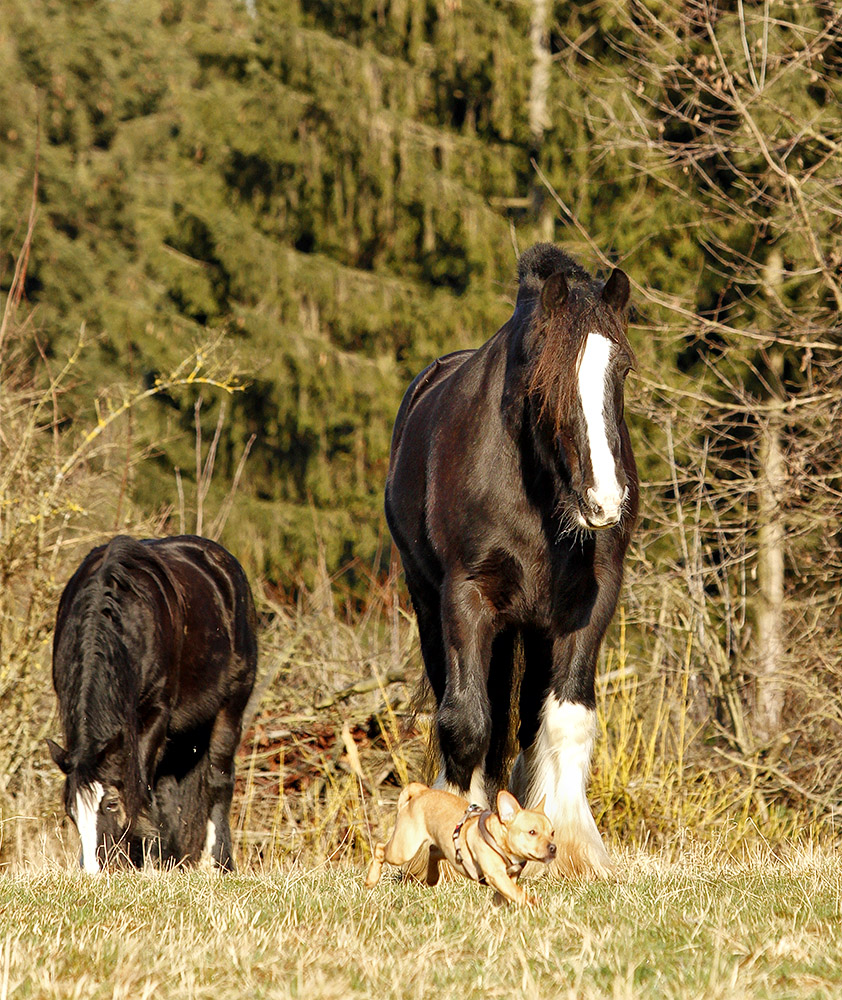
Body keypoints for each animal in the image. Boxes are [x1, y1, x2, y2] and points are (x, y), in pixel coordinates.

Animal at [48, 536, 258, 872]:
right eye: (71, 810)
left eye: (111, 804)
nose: (94, 870)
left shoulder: (155, 713)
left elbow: (140, 786)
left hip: (231, 706)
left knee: (218, 779)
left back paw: (218, 862)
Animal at [362, 780, 556, 908]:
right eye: (532, 832)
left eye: (552, 833)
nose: (553, 848)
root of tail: (421, 792)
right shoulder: (496, 874)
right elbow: (516, 891)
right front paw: (531, 901)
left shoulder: (510, 876)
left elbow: (506, 893)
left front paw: (498, 907)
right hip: (403, 849)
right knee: (380, 849)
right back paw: (371, 879)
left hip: (441, 845)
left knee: (433, 852)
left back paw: (432, 877)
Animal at [386, 242, 636, 876]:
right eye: (544, 378)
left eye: (621, 370)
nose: (605, 500)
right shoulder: (466, 597)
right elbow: (466, 723)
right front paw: (454, 837)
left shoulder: (587, 602)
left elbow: (565, 719)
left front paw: (573, 848)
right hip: (436, 609)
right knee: (478, 715)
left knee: (522, 722)